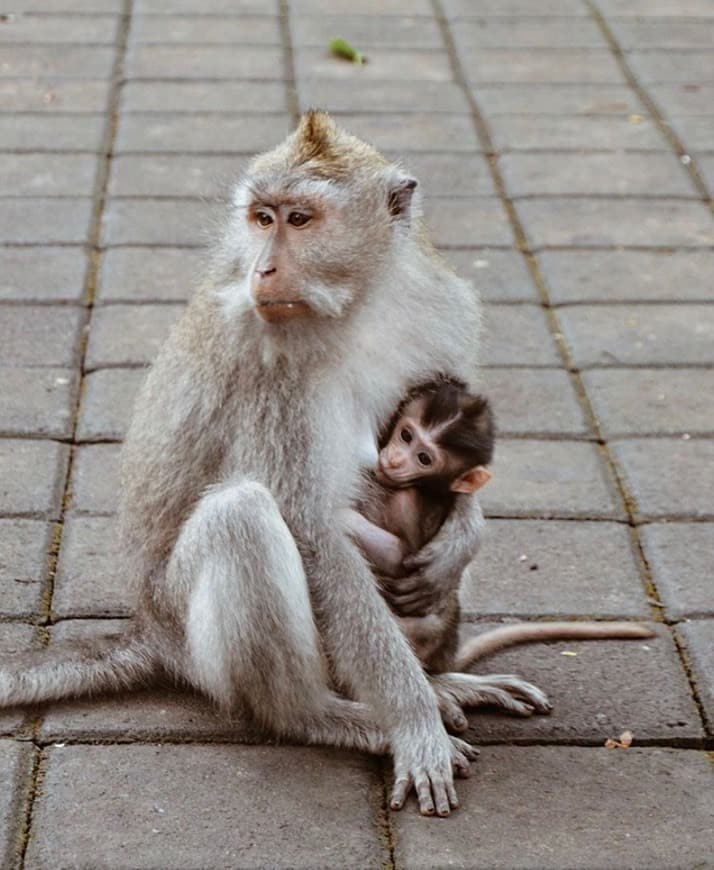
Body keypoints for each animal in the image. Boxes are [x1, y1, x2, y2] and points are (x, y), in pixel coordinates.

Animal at [0, 112, 552, 820]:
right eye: (262, 218)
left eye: (300, 219)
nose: (263, 268)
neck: (358, 304)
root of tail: (150, 628)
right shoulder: (272, 365)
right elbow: (311, 530)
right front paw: (412, 722)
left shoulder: (440, 309)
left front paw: (462, 538)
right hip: (190, 631)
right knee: (243, 515)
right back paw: (324, 714)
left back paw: (443, 682)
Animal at [344, 384, 652, 680]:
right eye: (406, 435)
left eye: (423, 458)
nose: (395, 460)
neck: (422, 487)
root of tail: (444, 658)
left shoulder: (408, 502)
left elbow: (398, 555)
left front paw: (340, 515)